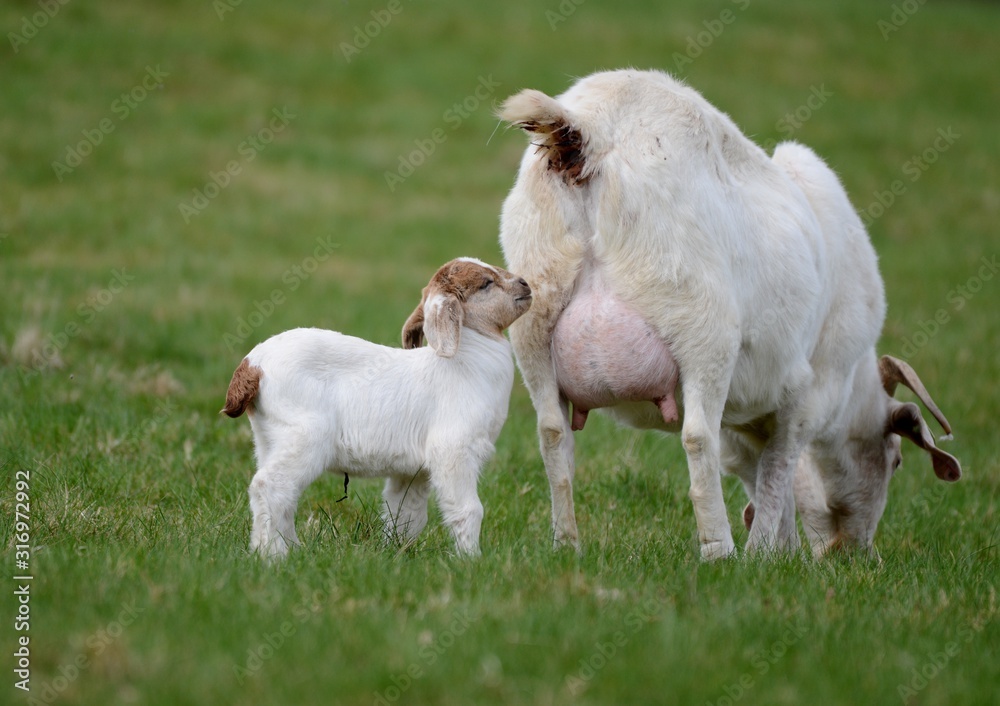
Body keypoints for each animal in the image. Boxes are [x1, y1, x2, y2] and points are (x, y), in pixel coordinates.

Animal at [223, 258, 532, 559]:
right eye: (486, 284)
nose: (526, 285)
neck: (466, 360)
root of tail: (253, 364)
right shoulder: (454, 450)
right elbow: (468, 509)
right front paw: (470, 560)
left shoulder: (413, 470)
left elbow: (405, 512)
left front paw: (398, 552)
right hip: (304, 435)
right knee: (269, 486)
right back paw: (274, 556)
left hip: (269, 439)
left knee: (280, 495)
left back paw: (280, 549)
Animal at [497, 69, 960, 560]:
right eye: (895, 459)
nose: (851, 553)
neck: (853, 388)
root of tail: (588, 133)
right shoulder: (807, 397)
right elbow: (778, 472)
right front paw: (765, 555)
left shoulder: (750, 423)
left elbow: (767, 478)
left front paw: (781, 552)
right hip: (703, 327)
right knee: (698, 437)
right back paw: (719, 550)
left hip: (534, 322)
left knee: (552, 433)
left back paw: (567, 545)